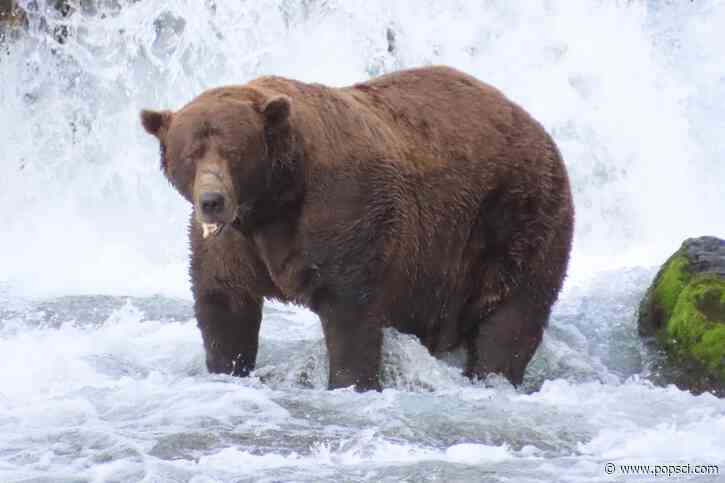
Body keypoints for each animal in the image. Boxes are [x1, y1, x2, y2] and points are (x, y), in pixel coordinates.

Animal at [140, 65, 574, 391]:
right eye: (191, 153)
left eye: (233, 151)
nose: (212, 201)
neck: (273, 201)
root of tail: (535, 125)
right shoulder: (233, 243)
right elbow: (224, 303)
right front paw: (227, 367)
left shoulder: (343, 213)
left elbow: (350, 311)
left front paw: (351, 381)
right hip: (437, 266)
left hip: (515, 216)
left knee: (512, 313)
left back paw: (492, 375)